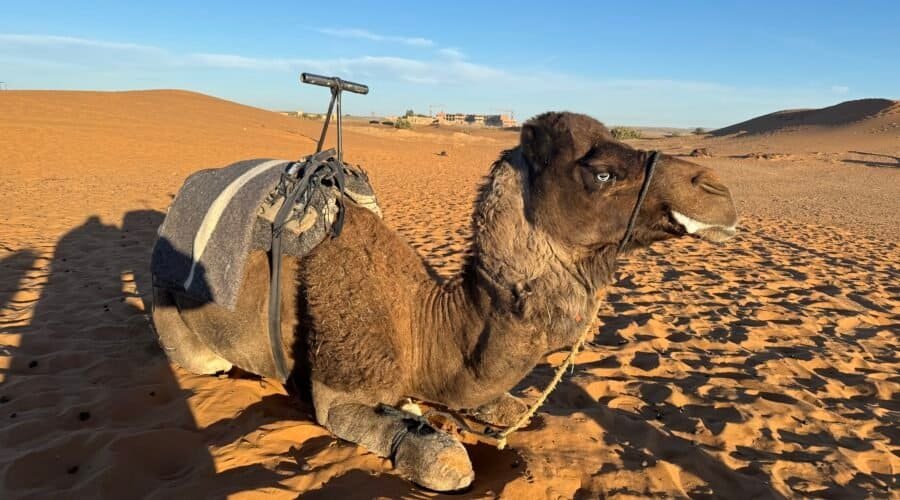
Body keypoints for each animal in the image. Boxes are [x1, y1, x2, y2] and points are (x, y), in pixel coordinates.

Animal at [151, 112, 738, 491]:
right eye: (601, 172)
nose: (718, 190)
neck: (423, 324)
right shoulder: (339, 390)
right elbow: (445, 462)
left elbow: (509, 405)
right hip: (173, 316)